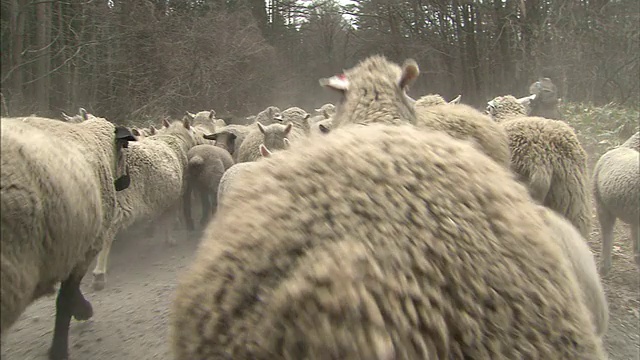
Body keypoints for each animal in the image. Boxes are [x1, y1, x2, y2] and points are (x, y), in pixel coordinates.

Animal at [0, 112, 136, 360]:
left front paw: (81, 310)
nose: (125, 183)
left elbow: (68, 295)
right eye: (124, 148)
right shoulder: (85, 247)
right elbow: (65, 298)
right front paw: (61, 346)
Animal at [90, 116, 200, 292]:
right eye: (194, 131)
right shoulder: (175, 194)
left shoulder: (161, 195)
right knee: (107, 234)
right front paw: (169, 238)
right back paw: (99, 274)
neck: (175, 138)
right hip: (121, 200)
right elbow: (168, 218)